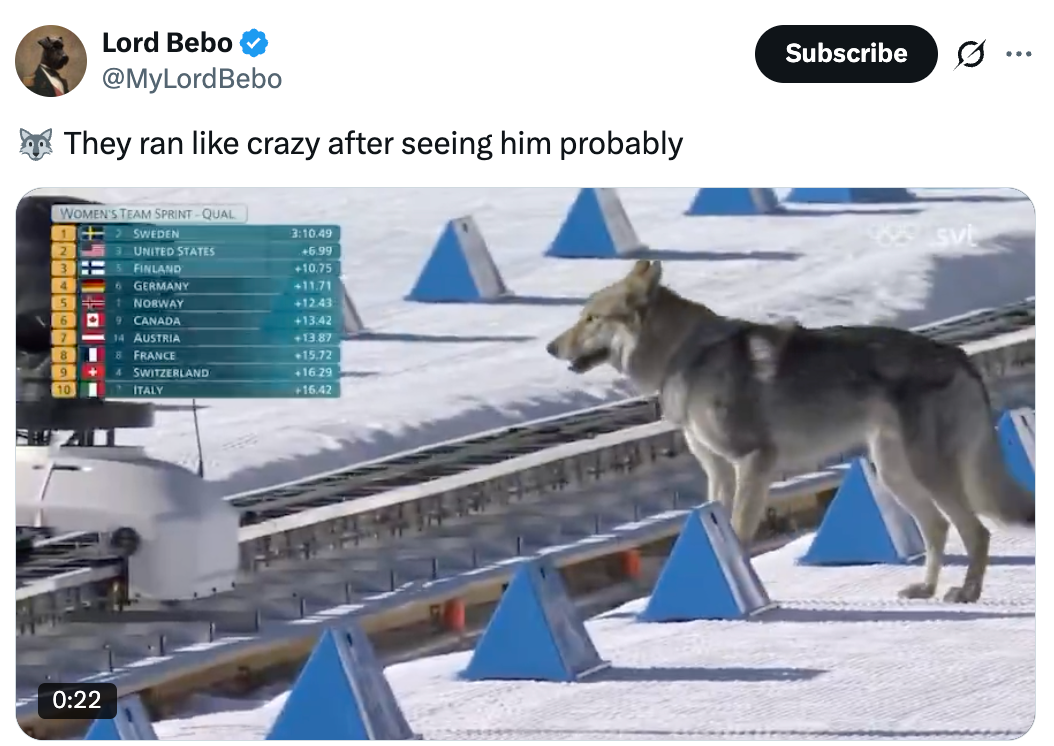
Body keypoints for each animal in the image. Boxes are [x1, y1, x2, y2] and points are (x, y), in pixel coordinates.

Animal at [546, 259, 1033, 603]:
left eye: (591, 319)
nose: (550, 347)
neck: (684, 355)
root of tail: (960, 355)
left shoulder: (753, 461)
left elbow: (740, 532)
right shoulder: (718, 472)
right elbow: (721, 525)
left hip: (928, 473)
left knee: (977, 532)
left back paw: (966, 592)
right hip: (897, 473)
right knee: (938, 528)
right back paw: (926, 590)